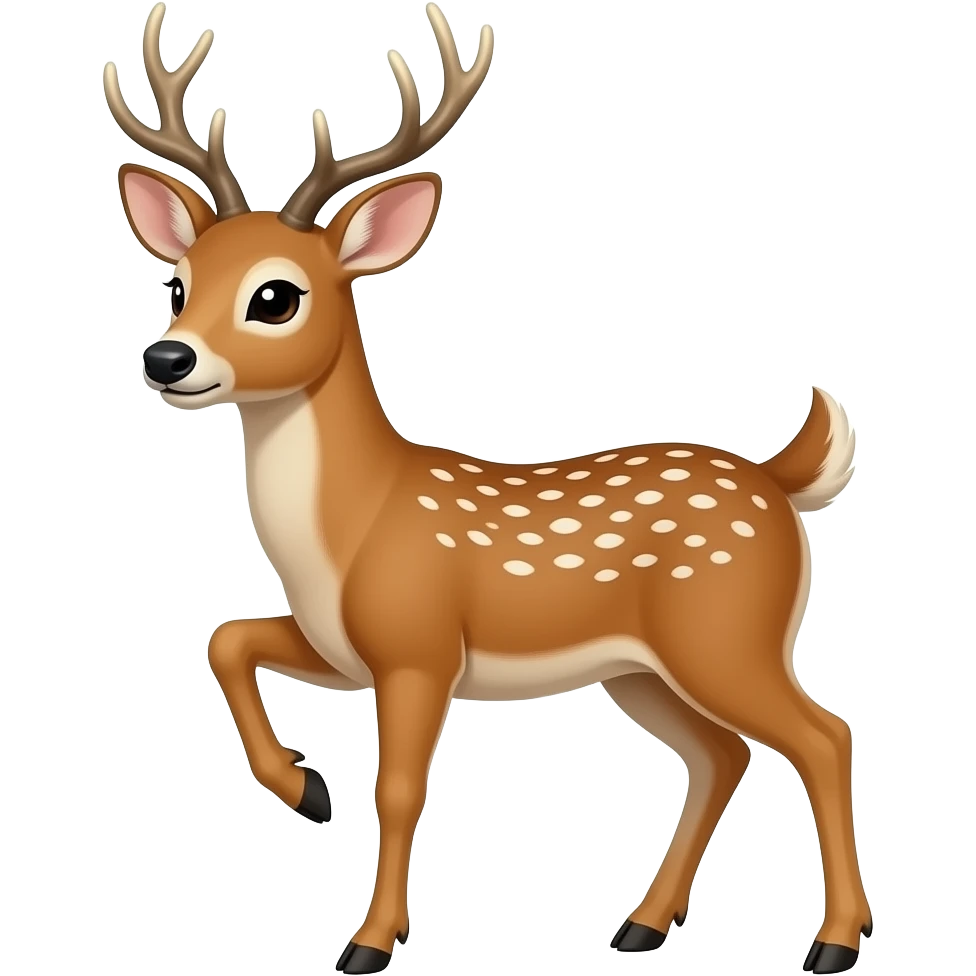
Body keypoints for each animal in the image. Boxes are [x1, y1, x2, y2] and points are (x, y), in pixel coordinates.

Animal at [105, 4, 870, 974]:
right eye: (181, 280)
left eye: (275, 296)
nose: (167, 359)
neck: (350, 531)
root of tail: (777, 482)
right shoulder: (340, 646)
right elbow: (226, 638)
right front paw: (305, 788)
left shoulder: (420, 644)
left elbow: (397, 788)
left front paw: (371, 941)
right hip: (642, 670)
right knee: (721, 754)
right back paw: (641, 925)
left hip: (727, 631)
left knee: (822, 734)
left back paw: (834, 941)